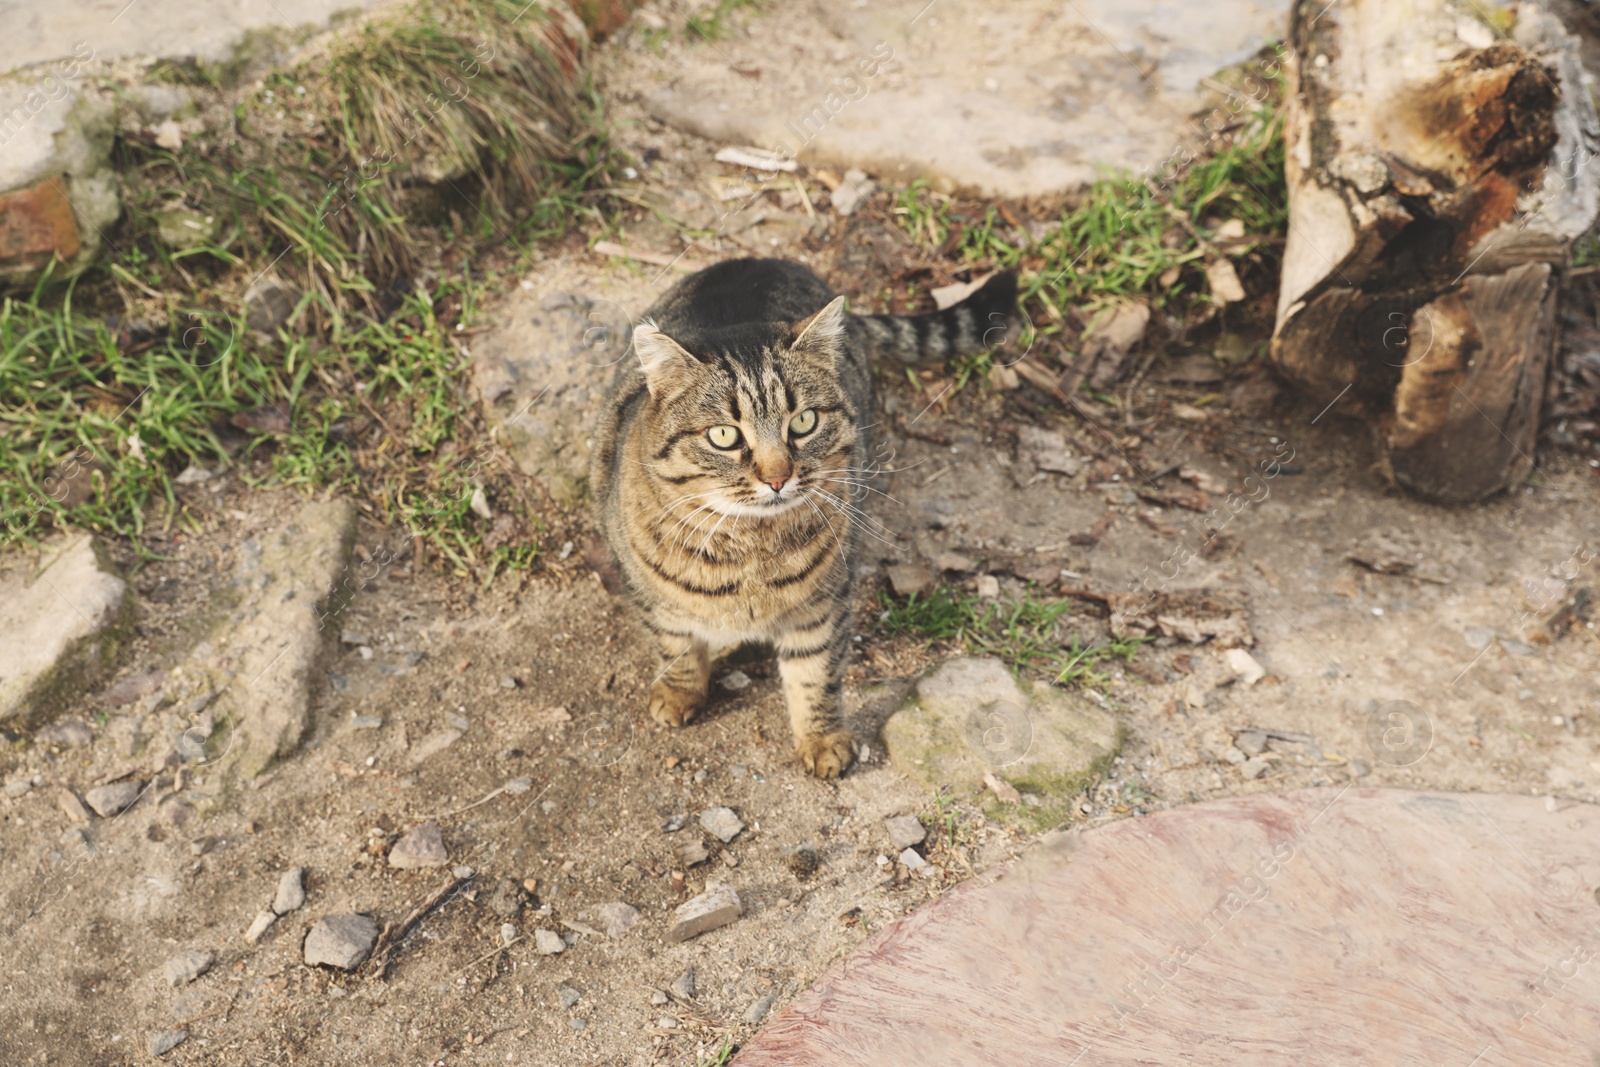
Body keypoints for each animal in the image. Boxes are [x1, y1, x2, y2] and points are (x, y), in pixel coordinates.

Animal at [595, 259, 1017, 777]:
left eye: (803, 422)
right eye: (723, 435)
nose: (778, 477)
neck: (748, 547)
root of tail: (763, 259)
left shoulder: (823, 604)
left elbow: (815, 673)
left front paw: (822, 739)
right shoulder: (645, 589)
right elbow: (675, 644)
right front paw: (678, 693)